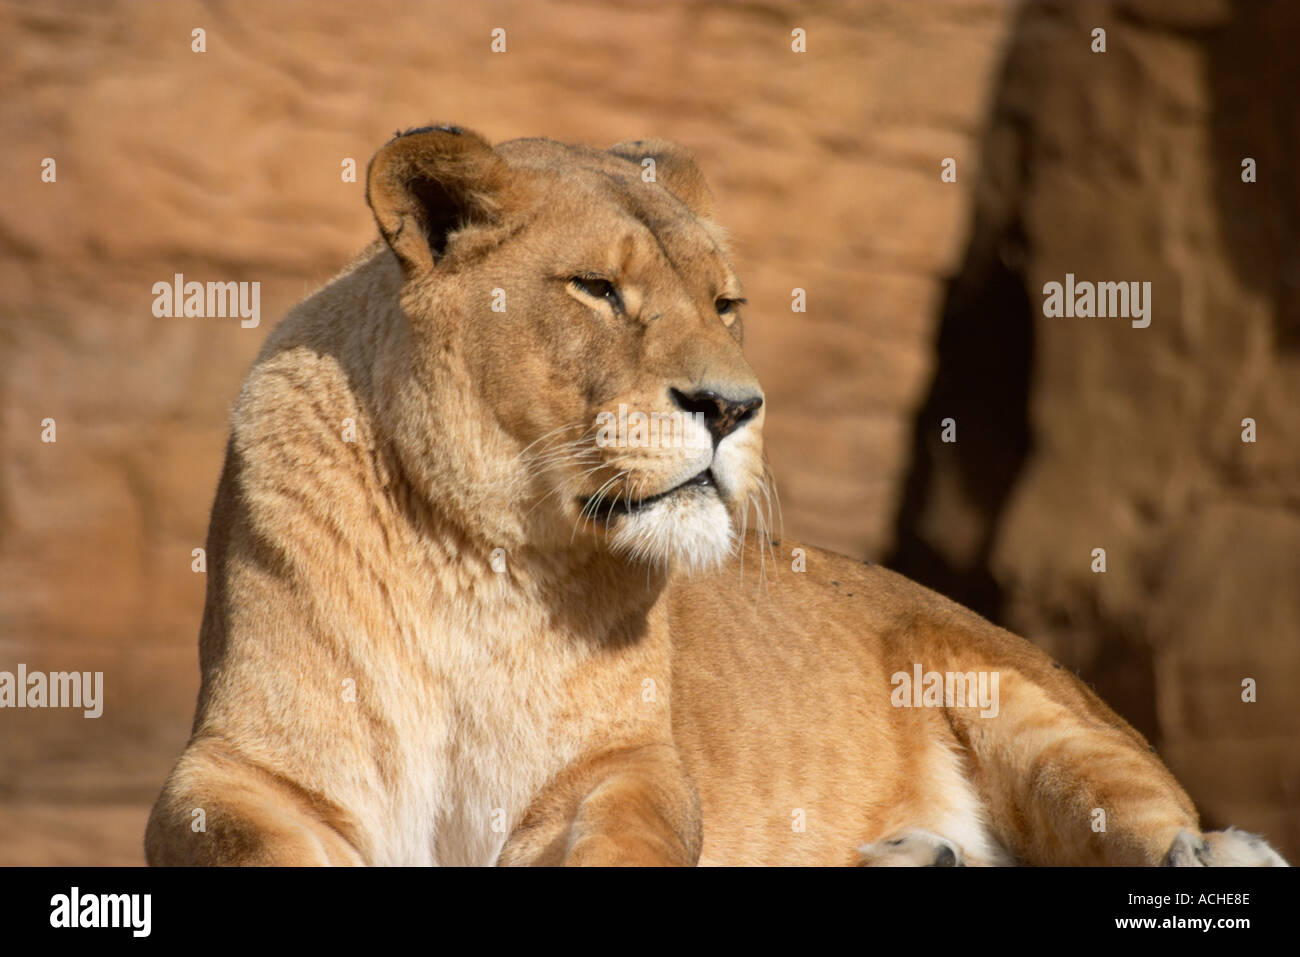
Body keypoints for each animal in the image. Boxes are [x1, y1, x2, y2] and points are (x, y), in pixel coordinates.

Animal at [145, 125, 1287, 867]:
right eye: (597, 290)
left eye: (726, 302)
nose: (733, 407)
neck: (486, 556)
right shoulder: (236, 772)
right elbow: (241, 837)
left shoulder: (623, 765)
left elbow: (635, 837)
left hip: (1025, 706)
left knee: (1144, 813)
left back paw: (1216, 853)